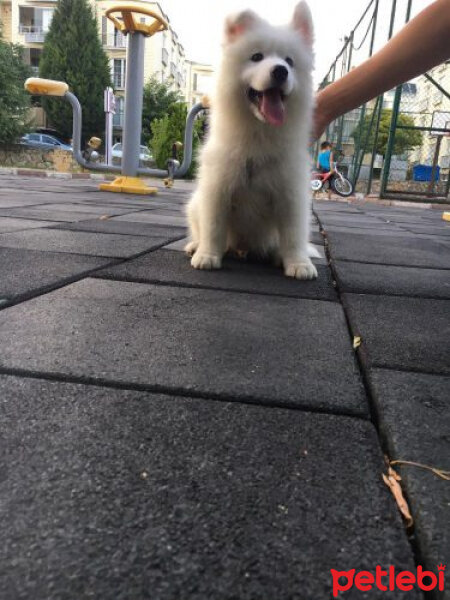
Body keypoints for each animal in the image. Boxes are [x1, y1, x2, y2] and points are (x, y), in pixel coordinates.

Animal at [185, 0, 318, 278]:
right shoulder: (216, 191)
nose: (280, 71)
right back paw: (195, 246)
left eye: (290, 61)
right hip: (194, 203)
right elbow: (213, 228)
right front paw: (207, 256)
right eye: (256, 57)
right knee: (201, 230)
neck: (258, 135)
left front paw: (299, 264)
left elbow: (293, 235)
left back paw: (278, 257)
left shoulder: (291, 195)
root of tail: (243, 248)